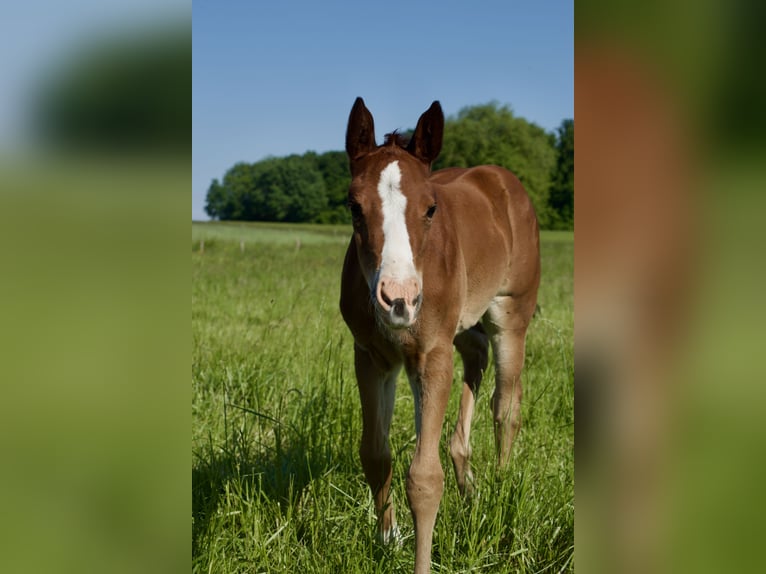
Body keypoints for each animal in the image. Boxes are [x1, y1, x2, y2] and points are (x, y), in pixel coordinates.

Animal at [339, 97, 540, 573]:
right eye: (353, 207)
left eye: (431, 208)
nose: (398, 300)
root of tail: (503, 179)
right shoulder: (372, 357)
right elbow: (375, 454)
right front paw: (388, 539)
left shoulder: (430, 356)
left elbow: (425, 478)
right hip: (464, 328)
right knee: (476, 360)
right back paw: (470, 482)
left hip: (511, 313)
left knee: (506, 404)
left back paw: (501, 483)